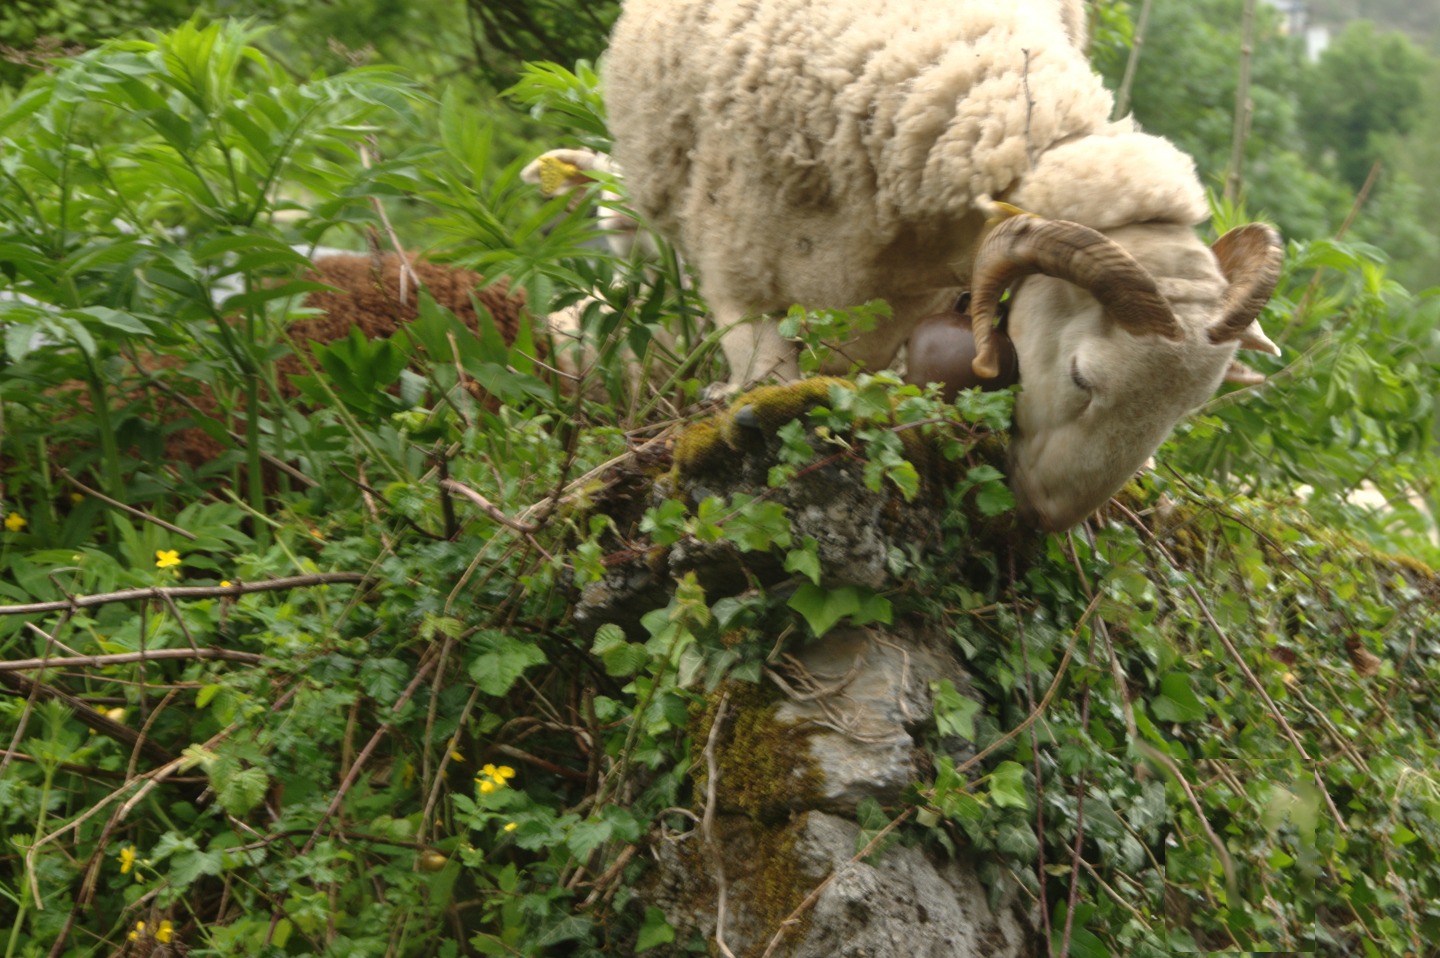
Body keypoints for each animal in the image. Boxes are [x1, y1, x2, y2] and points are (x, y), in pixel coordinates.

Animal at [604, 0, 1284, 530]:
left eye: (1186, 410)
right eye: (1081, 378)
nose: (1047, 520)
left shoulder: (905, 298)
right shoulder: (737, 269)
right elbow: (766, 376)